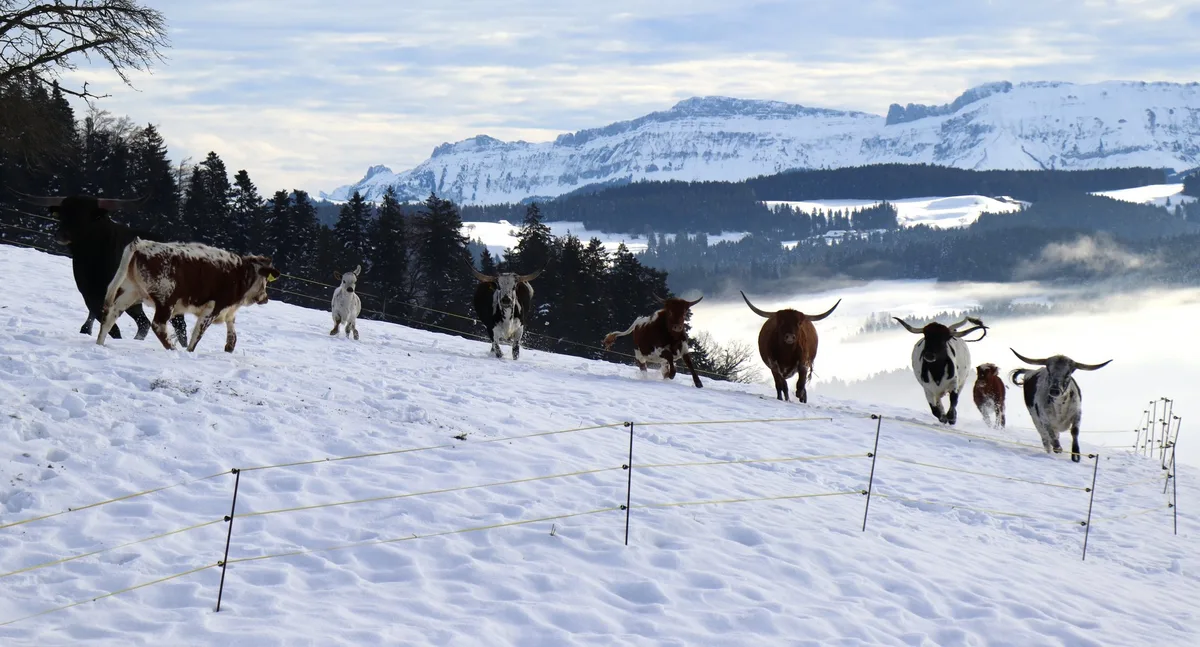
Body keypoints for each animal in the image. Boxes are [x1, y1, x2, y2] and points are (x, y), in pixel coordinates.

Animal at [17, 193, 187, 345]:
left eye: (84, 216)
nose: (60, 235)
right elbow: (107, 324)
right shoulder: (90, 295)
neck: (94, 258)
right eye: (62, 214)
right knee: (144, 323)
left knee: (179, 325)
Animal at [97, 239, 280, 353]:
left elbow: (232, 330)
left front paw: (229, 346)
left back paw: (100, 343)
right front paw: (190, 351)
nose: (265, 298)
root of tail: (143, 243)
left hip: (131, 291)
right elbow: (198, 332)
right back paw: (173, 349)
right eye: (266, 280)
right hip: (166, 299)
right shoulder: (214, 307)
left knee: (110, 315)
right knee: (158, 325)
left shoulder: (228, 310)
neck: (242, 274)